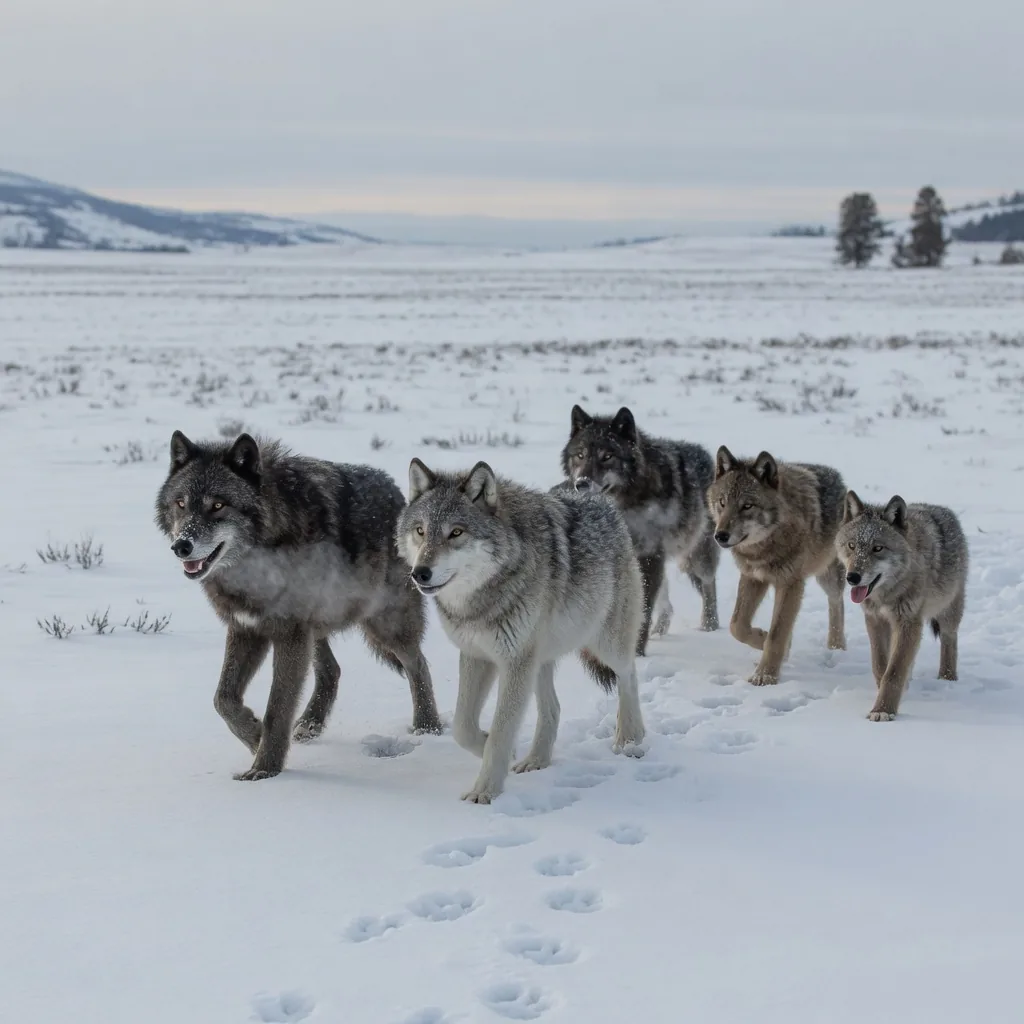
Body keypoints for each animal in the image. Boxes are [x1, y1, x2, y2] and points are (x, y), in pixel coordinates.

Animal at [154, 431, 442, 780]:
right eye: (181, 503)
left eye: (218, 505)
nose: (181, 546)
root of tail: (399, 494)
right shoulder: (246, 628)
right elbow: (223, 699)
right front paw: (254, 736)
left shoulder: (288, 634)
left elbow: (277, 708)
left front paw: (264, 771)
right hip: (316, 629)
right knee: (332, 670)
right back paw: (309, 725)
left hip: (385, 624)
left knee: (419, 665)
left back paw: (428, 728)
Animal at [396, 459, 646, 804]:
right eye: (420, 531)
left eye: (456, 532)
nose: (419, 573)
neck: (481, 600)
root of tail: (597, 496)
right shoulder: (477, 655)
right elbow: (462, 726)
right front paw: (495, 748)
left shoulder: (513, 661)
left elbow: (502, 731)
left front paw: (485, 791)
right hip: (538, 659)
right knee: (553, 707)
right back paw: (536, 760)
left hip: (605, 645)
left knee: (629, 676)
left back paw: (630, 740)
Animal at [561, 405, 720, 654]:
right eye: (580, 455)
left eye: (608, 456)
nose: (581, 484)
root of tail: (705, 454)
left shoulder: (649, 555)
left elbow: (643, 609)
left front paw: (637, 652)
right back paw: (661, 629)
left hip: (695, 556)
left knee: (708, 584)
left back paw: (709, 626)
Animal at [707, 447, 847, 685]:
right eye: (722, 502)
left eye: (747, 506)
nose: (720, 536)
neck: (764, 548)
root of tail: (837, 476)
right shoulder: (753, 577)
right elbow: (737, 626)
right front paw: (762, 641)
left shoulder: (790, 583)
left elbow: (777, 634)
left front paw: (765, 676)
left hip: (827, 577)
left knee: (837, 602)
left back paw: (837, 646)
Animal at [835, 491, 968, 722]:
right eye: (852, 546)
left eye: (878, 548)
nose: (852, 577)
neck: (886, 595)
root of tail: (940, 508)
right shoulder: (875, 619)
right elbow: (881, 666)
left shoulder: (908, 621)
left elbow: (894, 672)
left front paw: (883, 710)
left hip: (948, 613)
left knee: (949, 640)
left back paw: (947, 678)